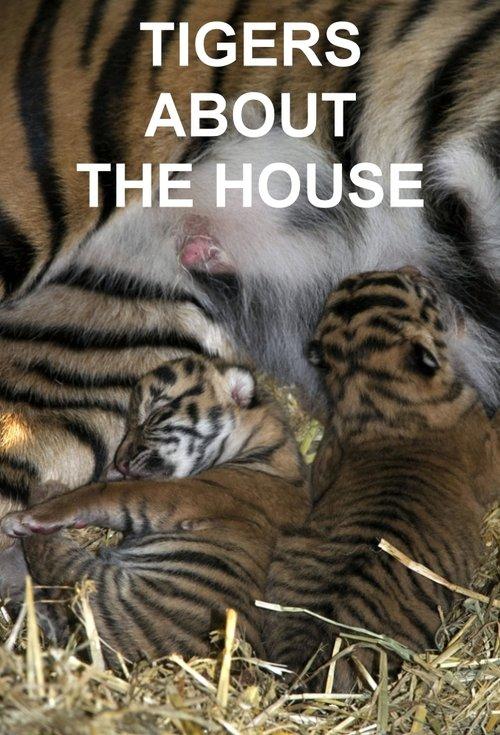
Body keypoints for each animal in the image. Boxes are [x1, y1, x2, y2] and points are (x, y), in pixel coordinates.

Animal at [1, 355, 308, 664]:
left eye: (153, 417)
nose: (121, 462)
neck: (267, 450)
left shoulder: (179, 495)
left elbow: (99, 494)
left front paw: (30, 516)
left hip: (89, 586)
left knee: (46, 557)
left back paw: (38, 499)